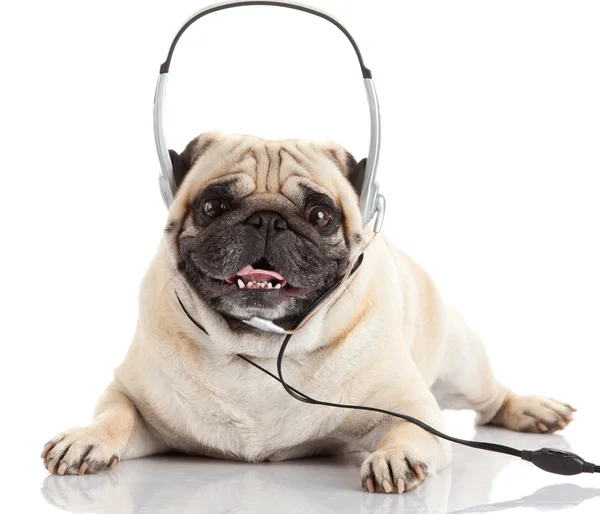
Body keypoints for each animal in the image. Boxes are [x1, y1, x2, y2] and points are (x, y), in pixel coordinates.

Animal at [39, 130, 576, 490]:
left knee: (491, 396)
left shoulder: (411, 407)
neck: (256, 349)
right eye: (212, 207)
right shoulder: (134, 396)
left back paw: (531, 410)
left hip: (462, 364)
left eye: (320, 215)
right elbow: (116, 414)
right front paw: (86, 438)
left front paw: (396, 458)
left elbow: (408, 431)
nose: (266, 219)